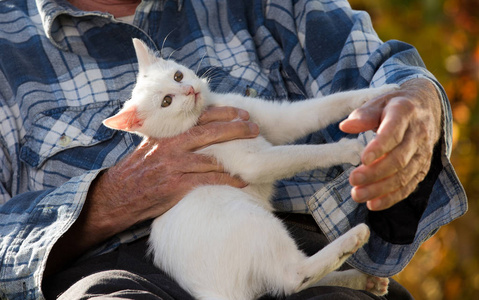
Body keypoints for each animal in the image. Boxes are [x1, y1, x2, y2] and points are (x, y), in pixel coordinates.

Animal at [104, 39, 394, 300]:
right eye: (166, 101)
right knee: (292, 277)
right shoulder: (254, 163)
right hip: (253, 220)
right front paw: (349, 149)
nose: (188, 90)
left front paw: (380, 93)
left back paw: (363, 280)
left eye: (178, 76)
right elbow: (302, 153)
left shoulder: (277, 121)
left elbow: (325, 105)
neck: (204, 114)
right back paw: (354, 239)